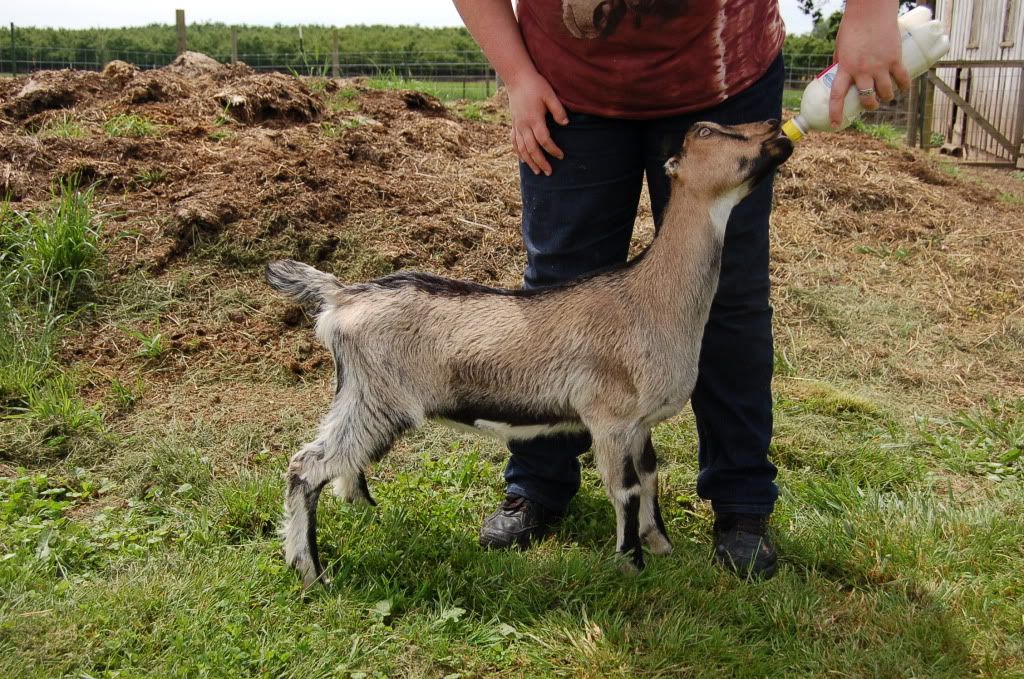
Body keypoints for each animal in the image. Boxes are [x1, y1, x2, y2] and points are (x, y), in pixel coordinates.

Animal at [266, 120, 793, 587]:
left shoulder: (639, 423)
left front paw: (662, 547)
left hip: (363, 397)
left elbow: (650, 478)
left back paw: (362, 512)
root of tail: (341, 296)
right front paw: (631, 565)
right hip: (377, 398)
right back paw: (310, 572)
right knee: (304, 468)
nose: (775, 127)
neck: (648, 297)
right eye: (705, 131)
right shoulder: (610, 417)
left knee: (333, 465)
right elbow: (624, 489)